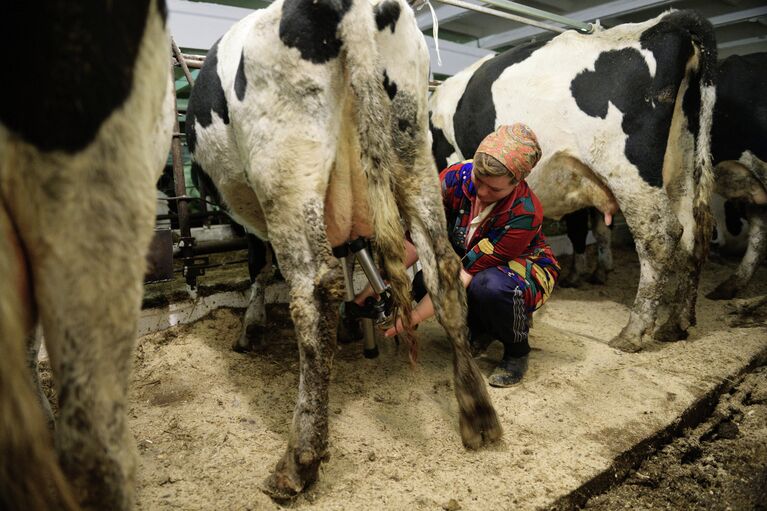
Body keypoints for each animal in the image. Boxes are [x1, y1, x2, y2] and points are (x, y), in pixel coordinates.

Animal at [186, 0, 504, 500]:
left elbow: (260, 265)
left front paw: (251, 329)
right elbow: (353, 257)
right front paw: (356, 326)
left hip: (286, 170)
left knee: (314, 290)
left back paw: (298, 461)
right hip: (411, 150)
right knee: (442, 265)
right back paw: (477, 411)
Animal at [432, 9, 720, 352]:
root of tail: (667, 19)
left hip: (627, 168)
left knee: (659, 236)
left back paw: (633, 332)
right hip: (682, 168)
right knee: (693, 235)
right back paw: (675, 324)